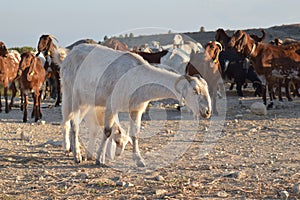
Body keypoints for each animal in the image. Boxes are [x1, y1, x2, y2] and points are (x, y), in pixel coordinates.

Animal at [60, 44, 211, 167]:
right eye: (195, 91)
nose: (207, 112)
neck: (137, 77)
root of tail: (71, 53)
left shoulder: (135, 109)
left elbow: (135, 134)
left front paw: (139, 160)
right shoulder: (111, 106)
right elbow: (107, 131)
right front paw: (99, 159)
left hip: (87, 103)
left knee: (75, 123)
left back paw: (76, 150)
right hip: (71, 95)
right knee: (71, 123)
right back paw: (74, 153)